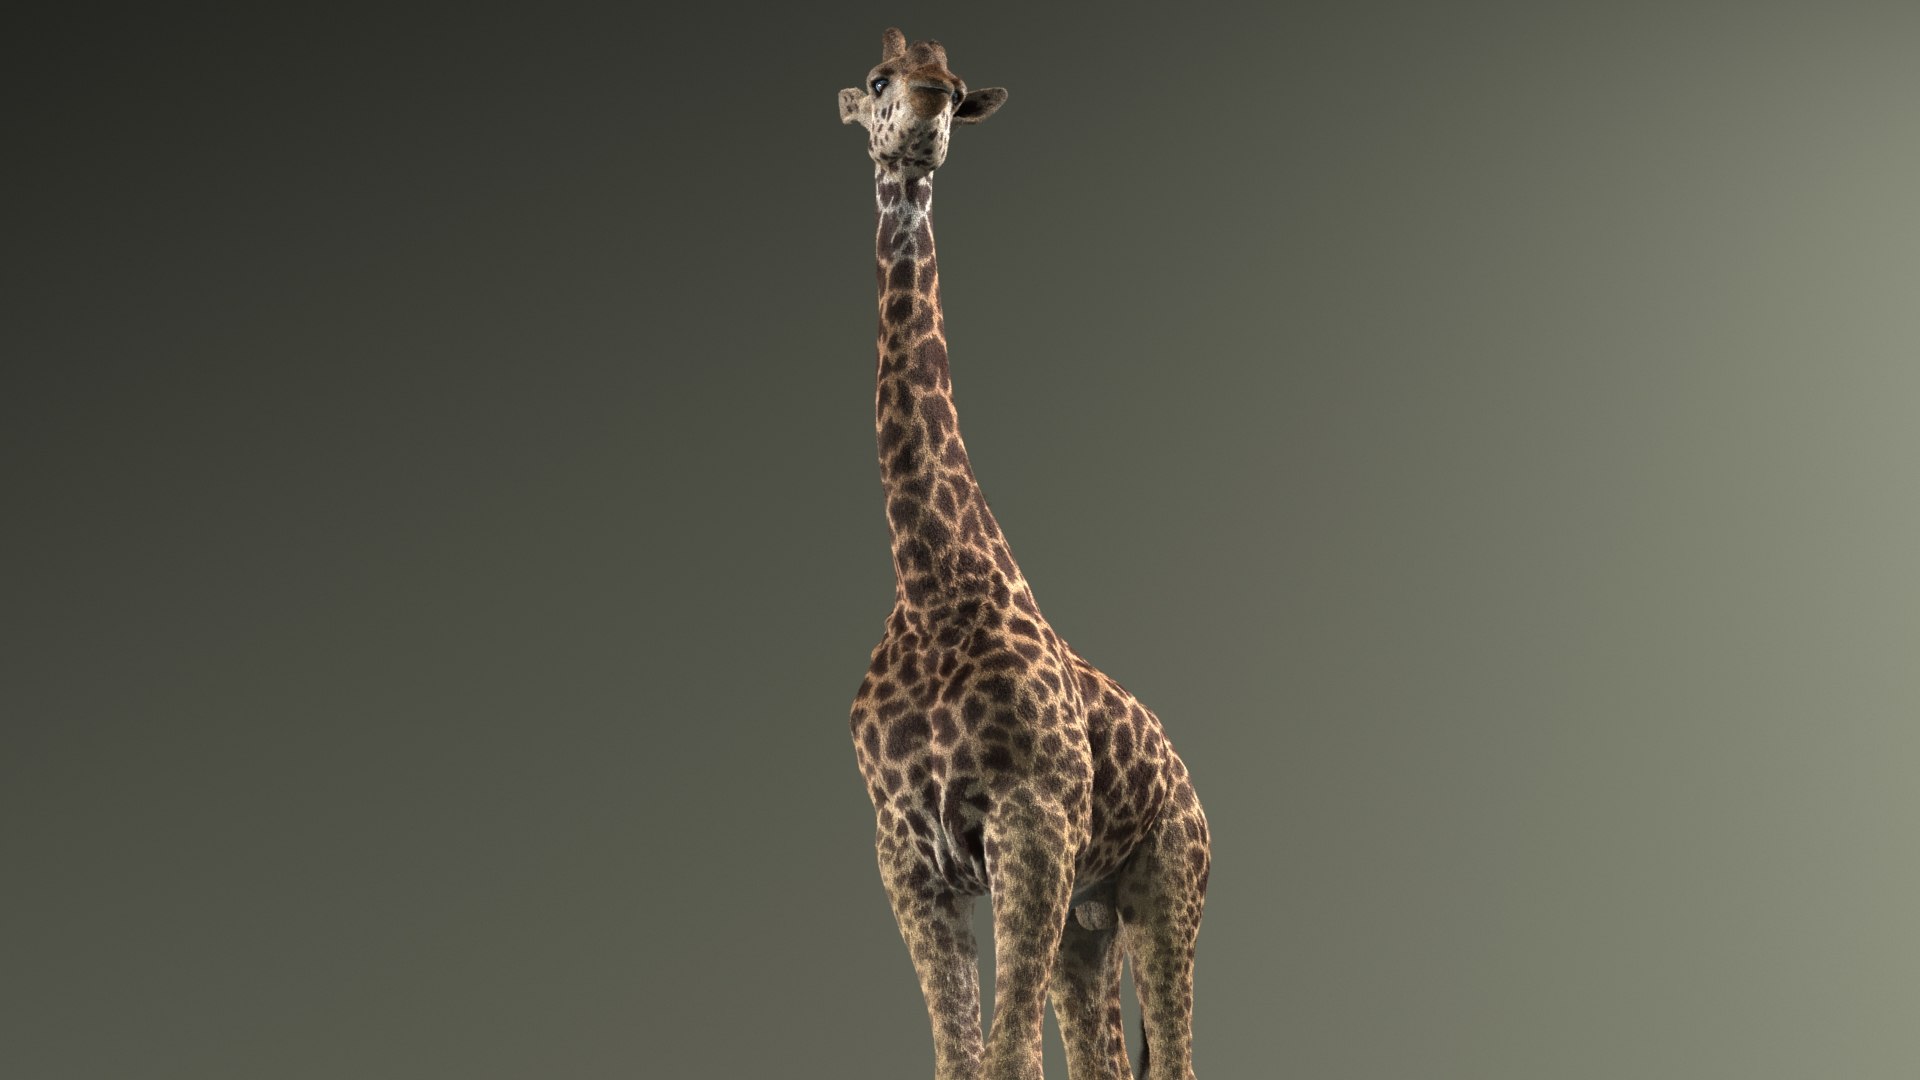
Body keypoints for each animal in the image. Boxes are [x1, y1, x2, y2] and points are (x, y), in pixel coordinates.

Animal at [838, 28, 1210, 1080]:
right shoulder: (909, 853)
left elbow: (1004, 1058)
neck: (930, 585)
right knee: (1108, 1058)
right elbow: (965, 1059)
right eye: (879, 82)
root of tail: (1191, 786)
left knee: (1173, 1056)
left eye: (956, 88)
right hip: (1092, 919)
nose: (924, 117)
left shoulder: (1029, 827)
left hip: (1165, 891)